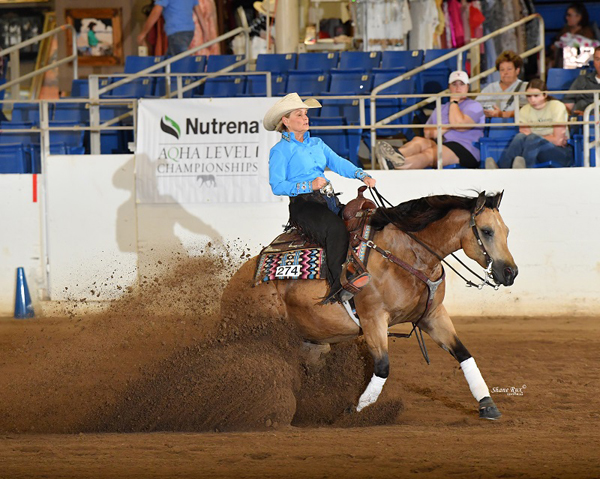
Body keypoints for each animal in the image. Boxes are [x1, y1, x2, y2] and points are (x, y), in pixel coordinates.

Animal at [223, 191, 516, 420]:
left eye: (506, 231)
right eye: (487, 231)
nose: (511, 272)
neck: (405, 254)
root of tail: (235, 282)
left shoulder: (432, 316)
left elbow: (464, 354)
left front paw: (487, 405)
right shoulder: (374, 318)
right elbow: (383, 367)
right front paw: (357, 411)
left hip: (311, 340)